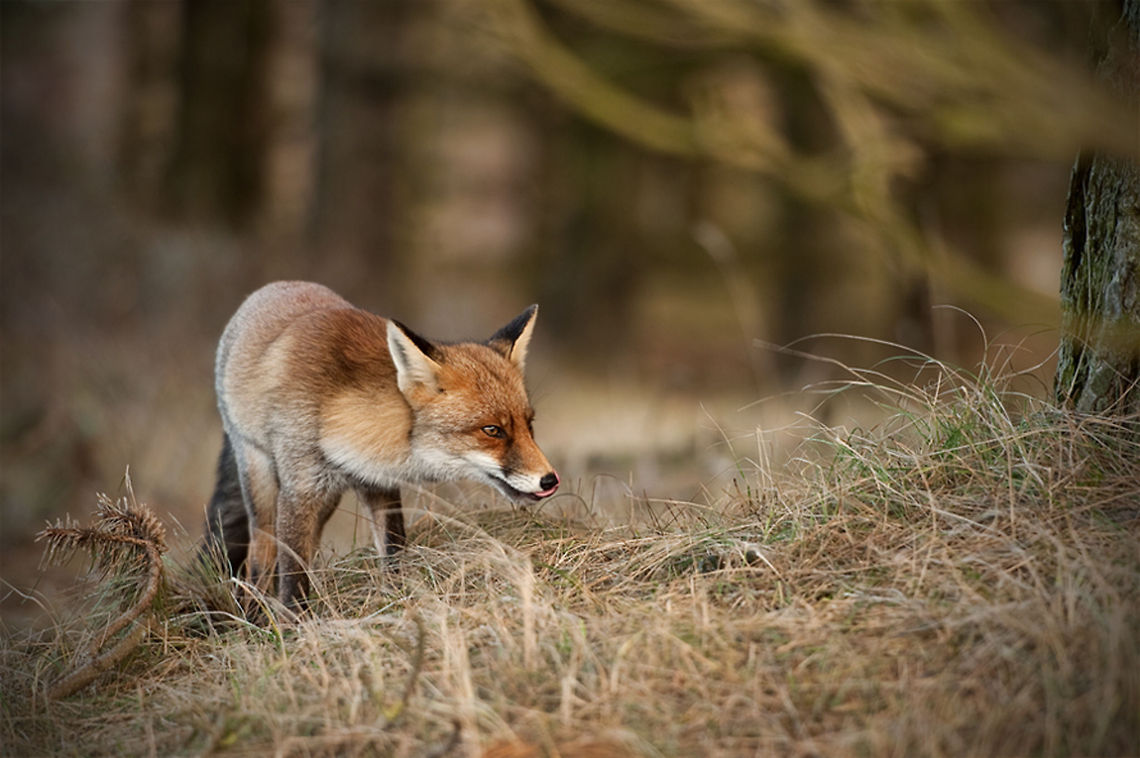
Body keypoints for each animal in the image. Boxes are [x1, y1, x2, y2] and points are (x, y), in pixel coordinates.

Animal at [202, 281, 559, 608]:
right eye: (492, 430)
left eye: (529, 425)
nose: (550, 480)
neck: (337, 416)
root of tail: (274, 286)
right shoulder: (300, 490)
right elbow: (292, 580)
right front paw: (294, 628)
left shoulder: (378, 483)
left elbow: (394, 550)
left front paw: (399, 600)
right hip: (260, 477)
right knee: (261, 553)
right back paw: (254, 612)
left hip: (327, 499)